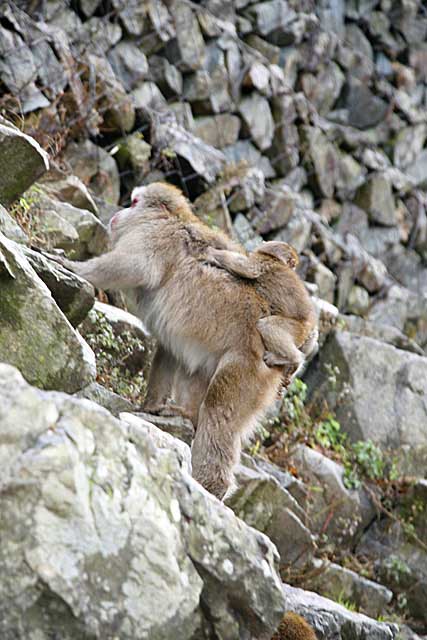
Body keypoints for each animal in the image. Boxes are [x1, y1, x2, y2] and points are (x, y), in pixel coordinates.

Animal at [56, 182, 284, 498]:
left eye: (133, 202)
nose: (118, 212)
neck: (171, 219)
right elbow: (169, 350)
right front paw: (149, 406)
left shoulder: (154, 236)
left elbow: (135, 266)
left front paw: (72, 267)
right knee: (195, 371)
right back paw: (185, 415)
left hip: (248, 370)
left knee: (218, 409)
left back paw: (208, 486)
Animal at [203, 239, 318, 380]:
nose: (294, 268)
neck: (274, 257)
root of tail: (310, 328)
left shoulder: (261, 261)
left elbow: (249, 269)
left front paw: (211, 252)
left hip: (298, 329)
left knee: (267, 326)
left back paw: (293, 359)